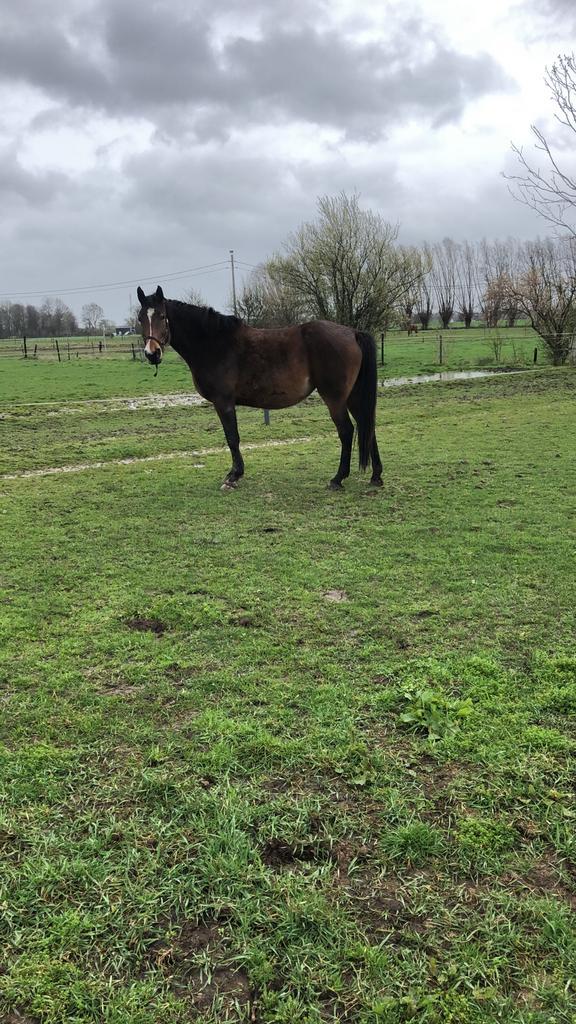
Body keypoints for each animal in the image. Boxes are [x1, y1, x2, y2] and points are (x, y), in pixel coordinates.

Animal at [137, 285, 382, 491]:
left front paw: (233, 476)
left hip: (335, 398)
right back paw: (376, 476)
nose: (152, 353)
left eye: (161, 316)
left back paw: (338, 478)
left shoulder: (223, 402)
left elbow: (232, 437)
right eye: (140, 318)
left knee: (347, 431)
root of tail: (353, 333)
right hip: (353, 396)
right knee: (367, 425)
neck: (214, 343)